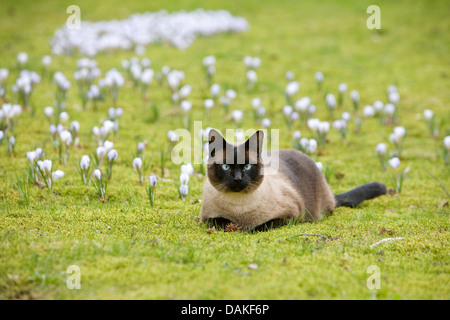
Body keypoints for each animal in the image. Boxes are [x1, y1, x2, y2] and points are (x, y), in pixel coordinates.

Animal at [200, 129, 386, 231]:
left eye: (246, 167)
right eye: (226, 167)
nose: (238, 179)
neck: (239, 209)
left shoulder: (291, 214)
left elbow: (262, 226)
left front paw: (246, 229)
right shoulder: (207, 218)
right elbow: (222, 222)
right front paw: (236, 228)